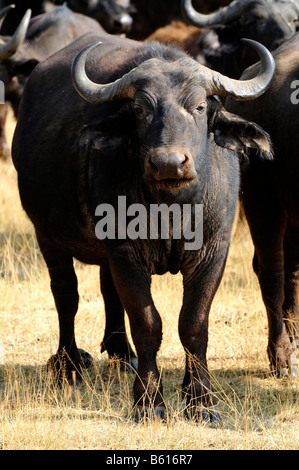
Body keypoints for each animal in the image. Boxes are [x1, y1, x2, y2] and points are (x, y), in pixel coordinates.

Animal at [12, 34, 276, 422]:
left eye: (199, 107)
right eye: (140, 110)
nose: (168, 163)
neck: (171, 210)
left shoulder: (214, 251)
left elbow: (194, 323)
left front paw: (201, 400)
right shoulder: (126, 252)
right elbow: (147, 322)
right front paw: (149, 401)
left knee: (107, 290)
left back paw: (121, 354)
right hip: (46, 235)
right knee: (66, 295)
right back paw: (69, 363)